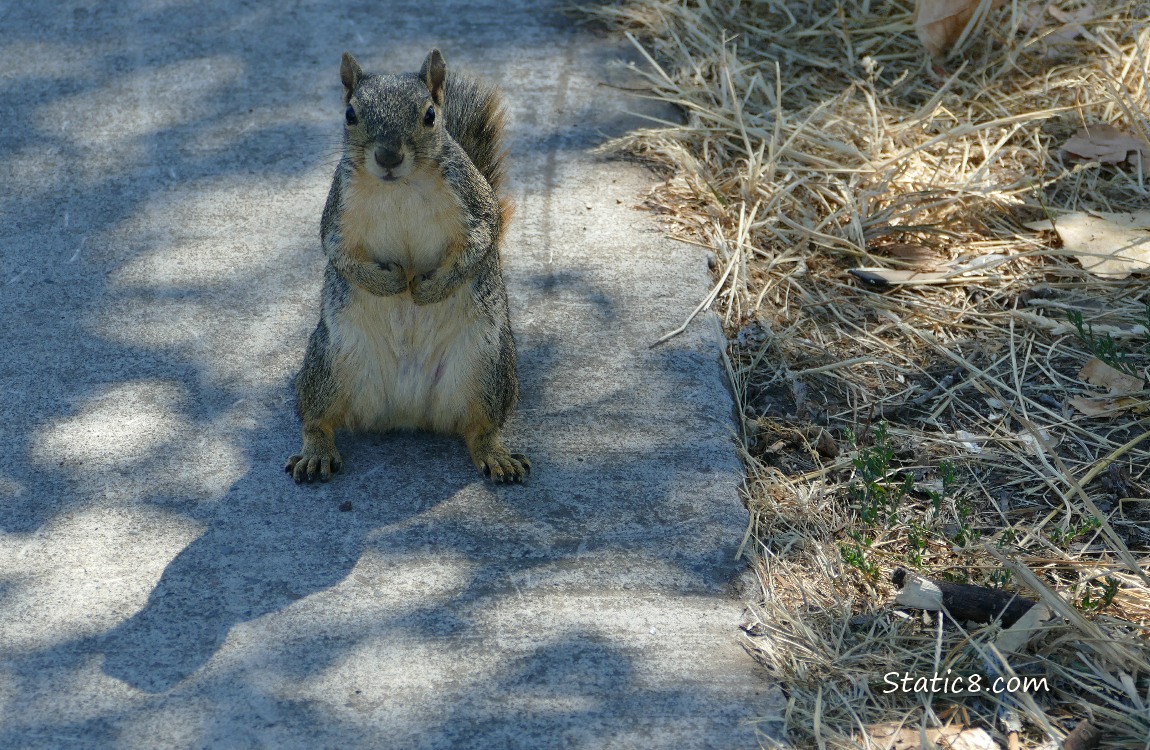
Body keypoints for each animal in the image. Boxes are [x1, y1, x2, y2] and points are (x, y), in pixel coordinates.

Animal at [285, 49, 530, 484]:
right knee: (316, 418)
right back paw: (316, 452)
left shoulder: (475, 202)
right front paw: (393, 283)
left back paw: (496, 455)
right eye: (350, 114)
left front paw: (426, 289)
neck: (398, 186)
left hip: (489, 371)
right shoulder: (337, 215)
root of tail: (407, 410)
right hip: (327, 365)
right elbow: (337, 253)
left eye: (430, 115)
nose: (388, 156)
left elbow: (482, 240)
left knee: (482, 428)